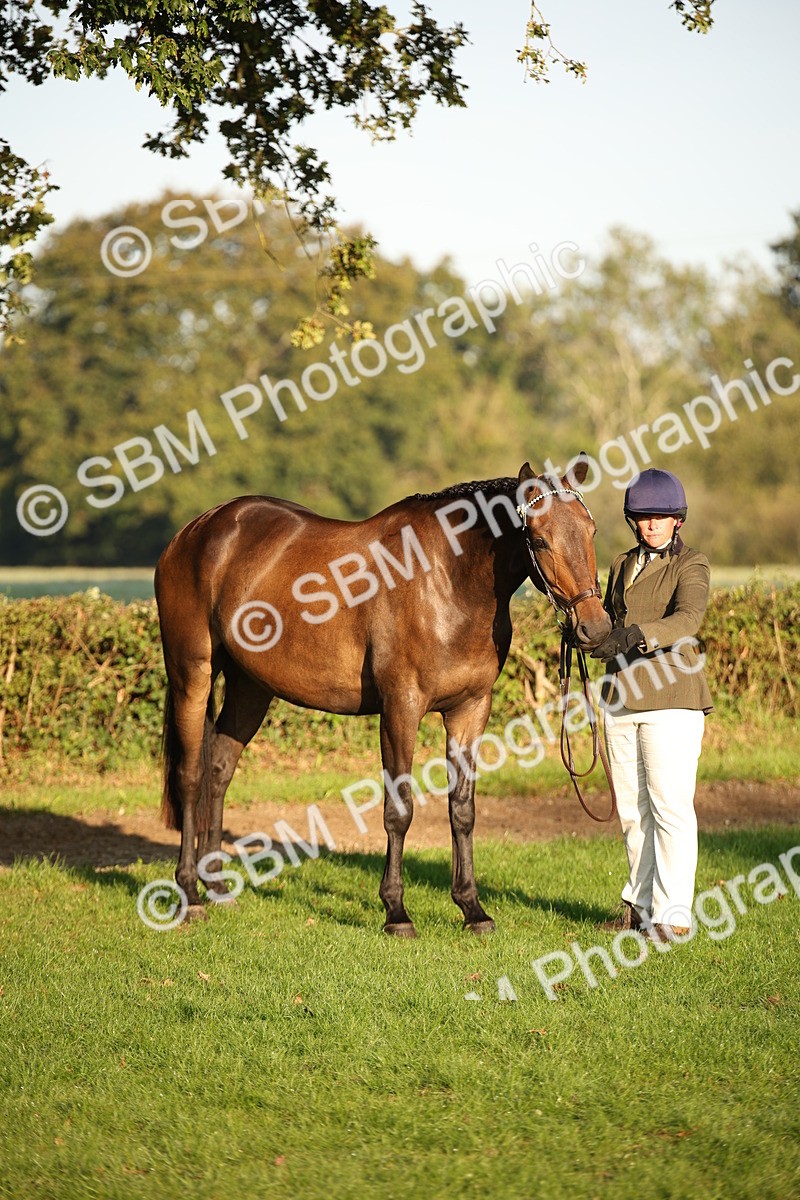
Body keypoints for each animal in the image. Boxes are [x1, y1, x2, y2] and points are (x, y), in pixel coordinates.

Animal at [154, 458, 611, 936]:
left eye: (591, 530)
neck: (446, 580)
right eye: (539, 539)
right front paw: (396, 912)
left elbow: (462, 809)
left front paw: (472, 908)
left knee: (220, 769)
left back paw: (217, 885)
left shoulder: (470, 710)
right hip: (192, 674)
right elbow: (399, 808)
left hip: (251, 687)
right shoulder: (400, 709)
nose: (595, 627)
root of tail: (196, 530)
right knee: (191, 776)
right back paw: (190, 894)